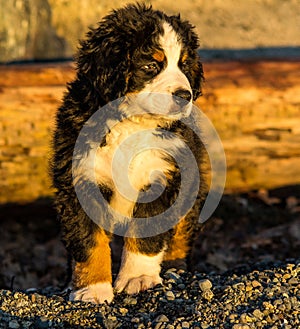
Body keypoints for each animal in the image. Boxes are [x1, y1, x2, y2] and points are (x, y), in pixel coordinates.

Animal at [52, 3, 206, 304]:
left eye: (184, 65)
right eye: (151, 66)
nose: (185, 95)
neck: (132, 123)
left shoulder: (162, 175)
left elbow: (147, 234)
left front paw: (139, 278)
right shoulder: (79, 178)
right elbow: (89, 240)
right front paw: (93, 288)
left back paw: (175, 269)